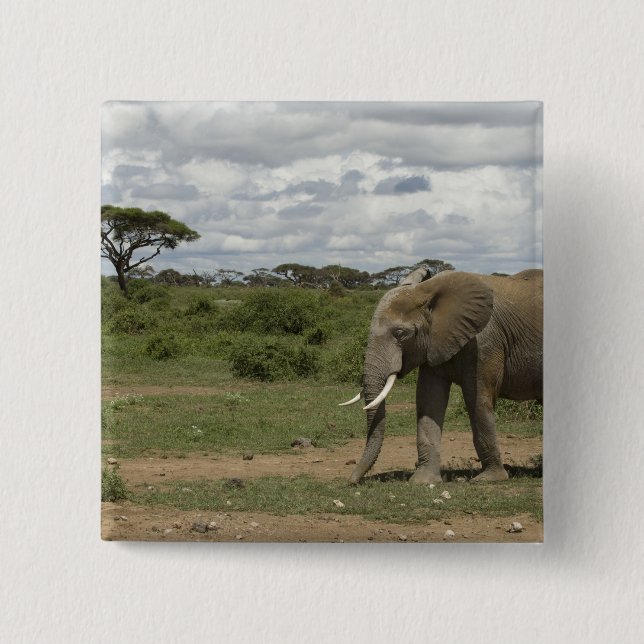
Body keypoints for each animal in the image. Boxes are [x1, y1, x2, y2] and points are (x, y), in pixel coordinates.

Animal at [339, 267, 543, 484]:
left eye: (401, 333)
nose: (351, 480)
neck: (426, 291)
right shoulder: (433, 342)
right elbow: (429, 400)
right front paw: (423, 481)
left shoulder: (486, 342)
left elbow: (478, 400)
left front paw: (489, 478)